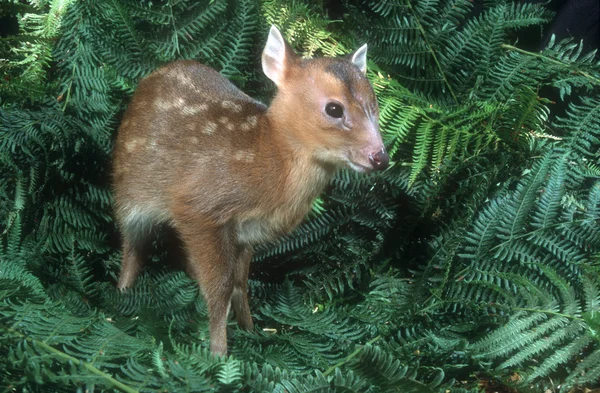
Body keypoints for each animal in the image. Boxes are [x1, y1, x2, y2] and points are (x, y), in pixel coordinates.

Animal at [111, 26, 390, 354]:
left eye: (374, 105)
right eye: (334, 108)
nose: (380, 157)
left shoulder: (246, 232)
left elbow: (239, 284)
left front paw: (251, 330)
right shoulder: (199, 207)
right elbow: (219, 287)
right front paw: (219, 352)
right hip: (129, 194)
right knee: (132, 248)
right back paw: (121, 298)